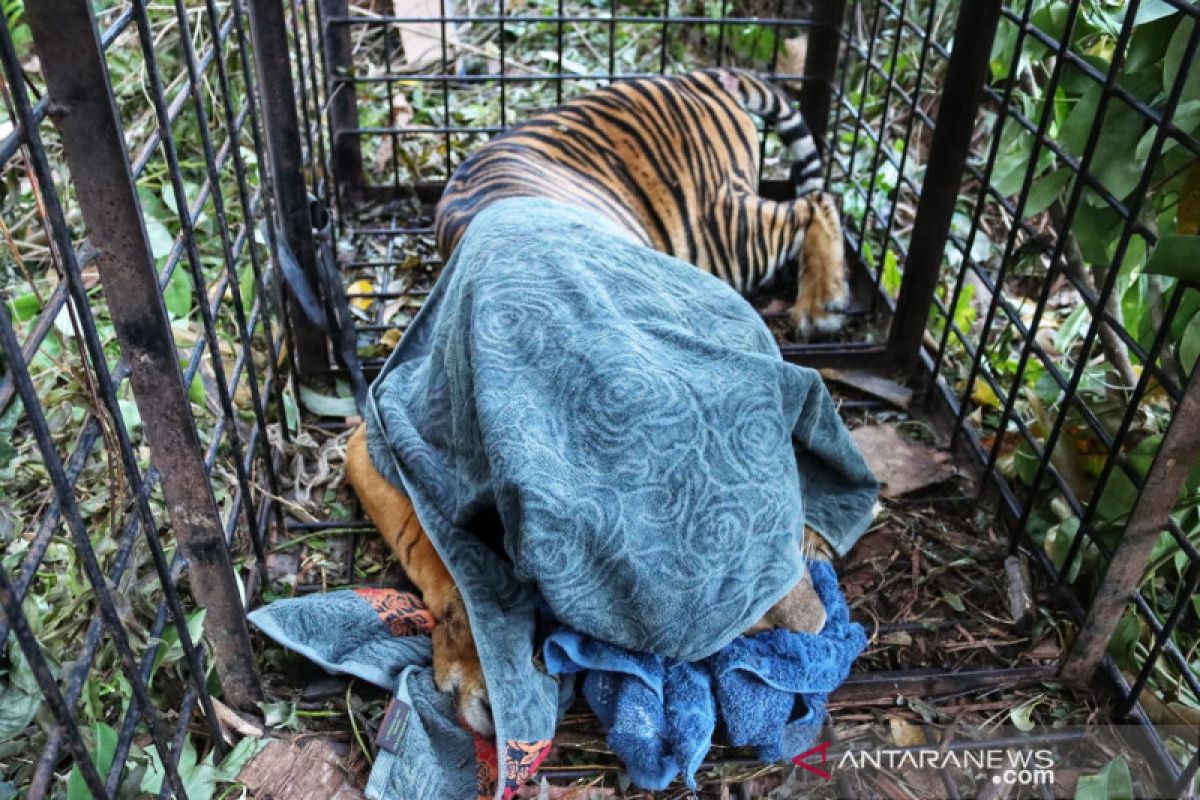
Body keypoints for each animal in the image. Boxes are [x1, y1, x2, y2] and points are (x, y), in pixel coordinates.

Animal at [350, 67, 844, 734]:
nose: (817, 625)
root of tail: (695, 74)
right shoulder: (375, 437)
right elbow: (439, 553)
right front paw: (480, 672)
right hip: (725, 232)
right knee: (814, 202)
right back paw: (821, 303)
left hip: (723, 234)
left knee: (815, 202)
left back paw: (822, 301)